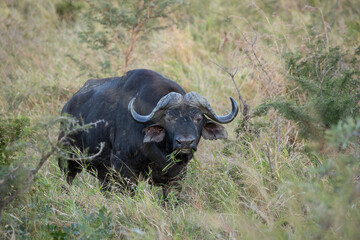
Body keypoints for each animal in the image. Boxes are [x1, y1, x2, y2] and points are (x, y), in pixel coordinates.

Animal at [58, 68, 239, 196]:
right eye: (169, 118)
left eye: (198, 118)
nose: (185, 142)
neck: (160, 151)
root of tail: (67, 107)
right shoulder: (124, 169)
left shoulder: (176, 178)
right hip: (67, 161)